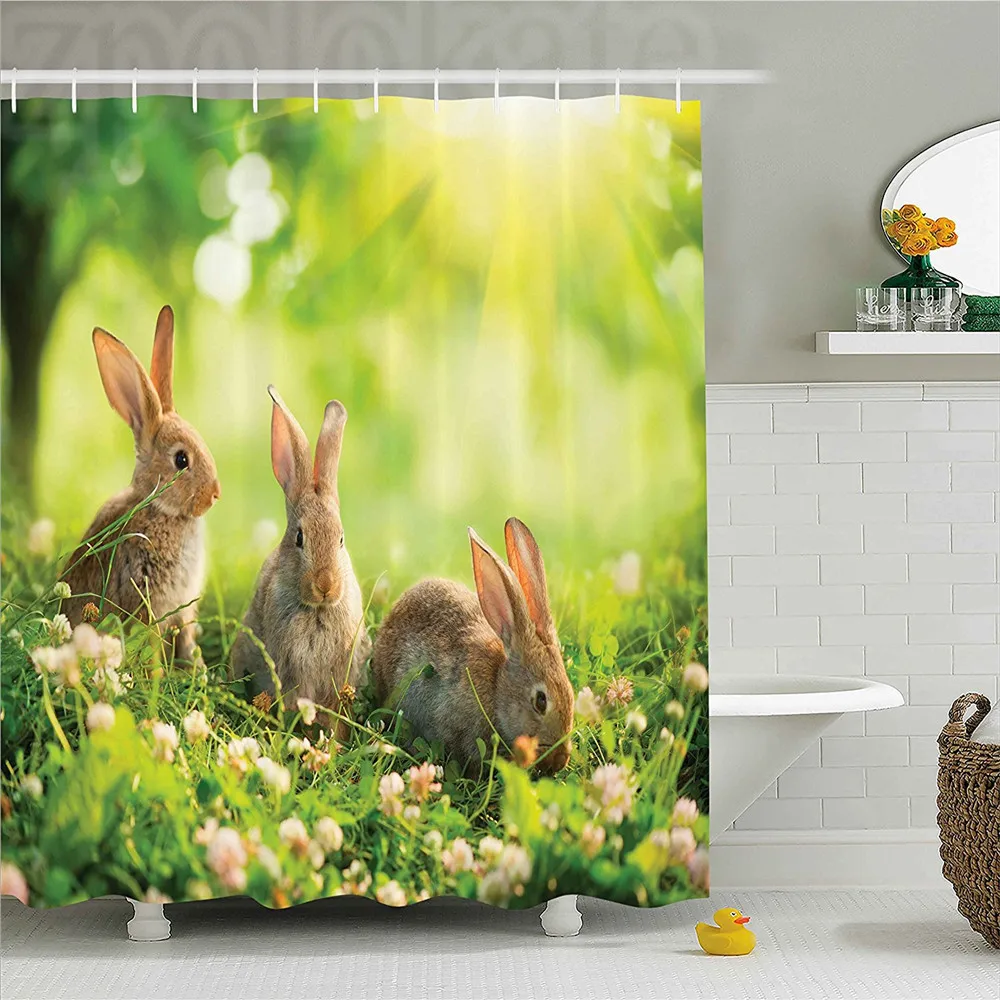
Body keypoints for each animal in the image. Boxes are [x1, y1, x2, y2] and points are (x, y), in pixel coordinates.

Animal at [62, 306, 221, 663]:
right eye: (181, 460)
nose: (215, 495)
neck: (161, 508)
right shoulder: (149, 599)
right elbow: (151, 642)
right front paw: (158, 672)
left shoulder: (182, 609)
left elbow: (185, 636)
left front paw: (196, 664)